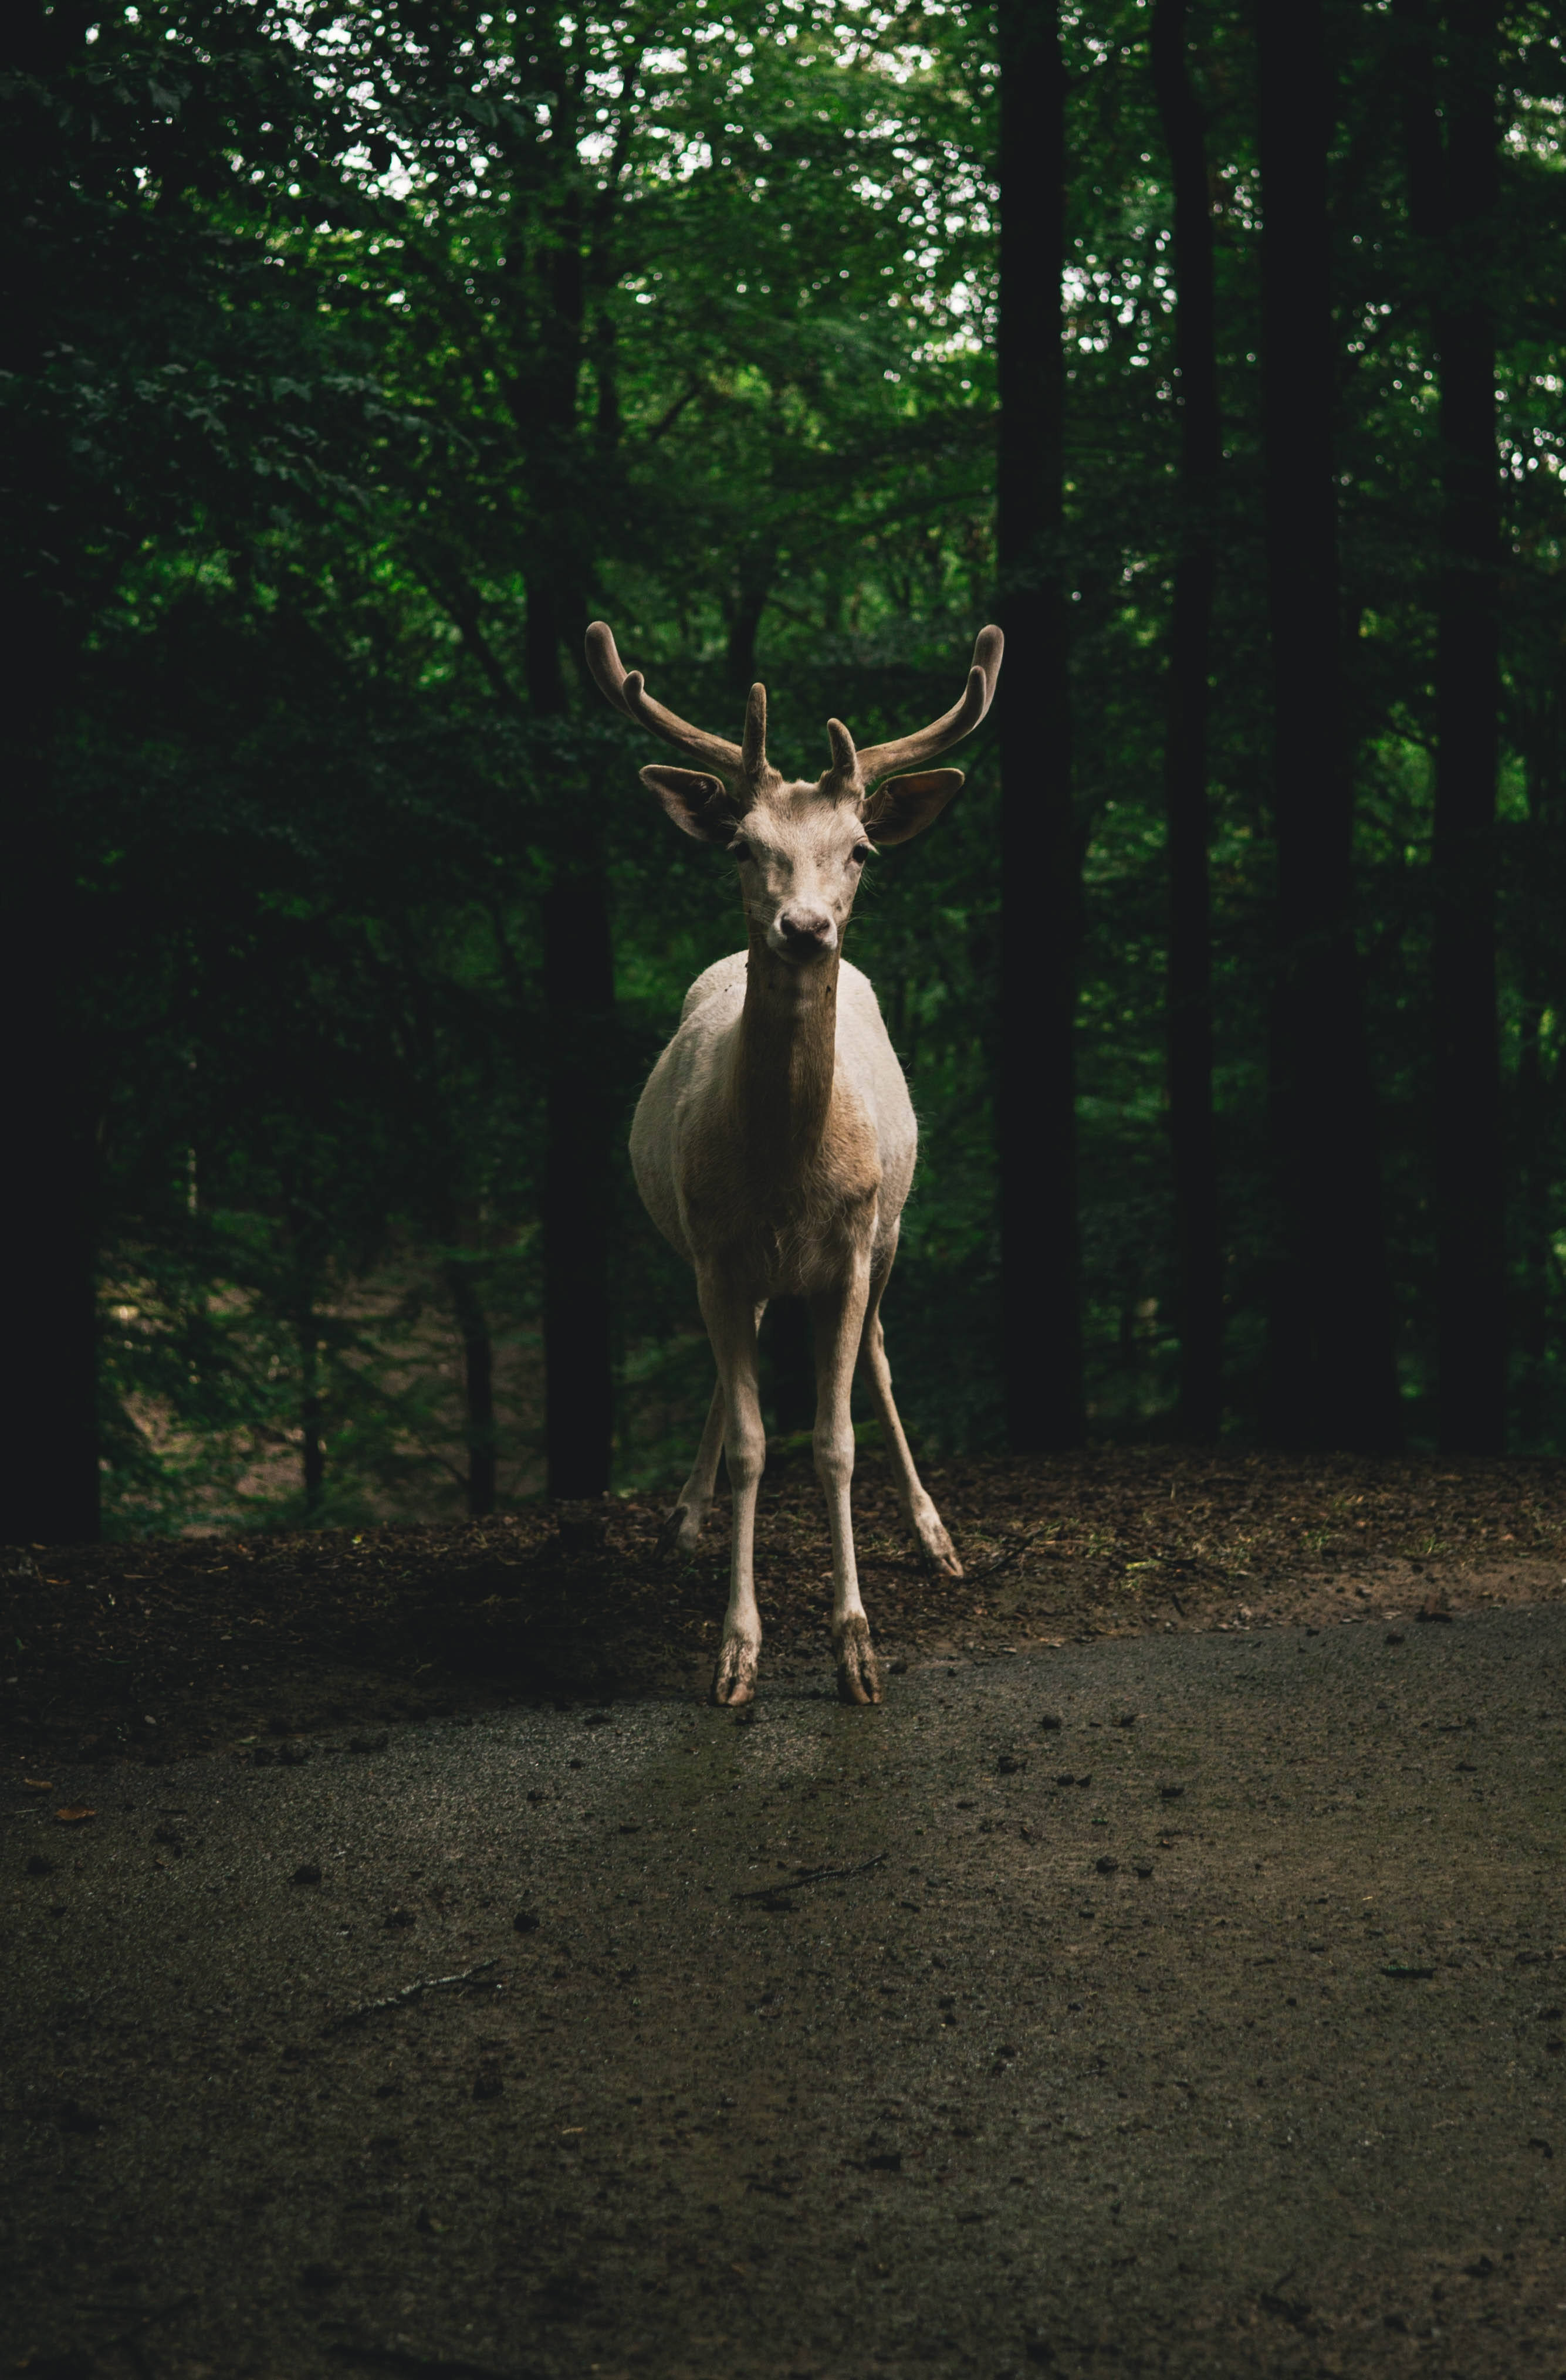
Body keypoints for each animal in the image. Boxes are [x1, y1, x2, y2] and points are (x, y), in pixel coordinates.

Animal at [585, 623, 999, 1704]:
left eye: (857, 849)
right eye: (742, 845)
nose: (805, 929)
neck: (785, 1179)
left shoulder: (848, 1249)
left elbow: (835, 1439)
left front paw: (856, 1645)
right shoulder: (717, 1253)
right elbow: (751, 1443)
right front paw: (736, 1650)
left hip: (891, 1231)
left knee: (881, 1357)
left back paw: (936, 1535)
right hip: (712, 1258)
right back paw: (682, 1522)